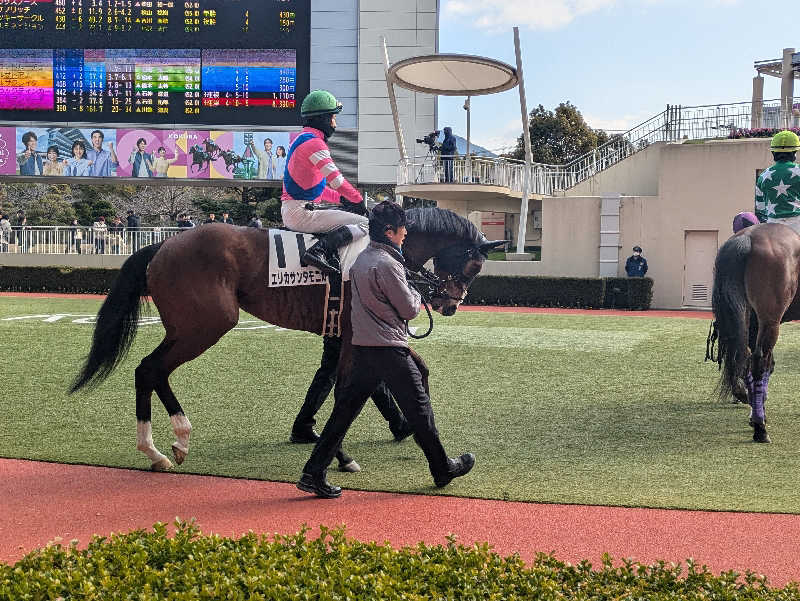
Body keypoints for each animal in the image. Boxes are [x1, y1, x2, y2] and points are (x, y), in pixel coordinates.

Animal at [72, 209, 504, 472]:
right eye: (474, 263)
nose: (449, 304)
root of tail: (164, 243)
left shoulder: (355, 335)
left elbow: (408, 372)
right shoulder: (355, 331)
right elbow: (350, 388)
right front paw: (343, 452)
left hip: (186, 329)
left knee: (151, 371)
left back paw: (165, 450)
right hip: (205, 326)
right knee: (150, 370)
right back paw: (167, 444)